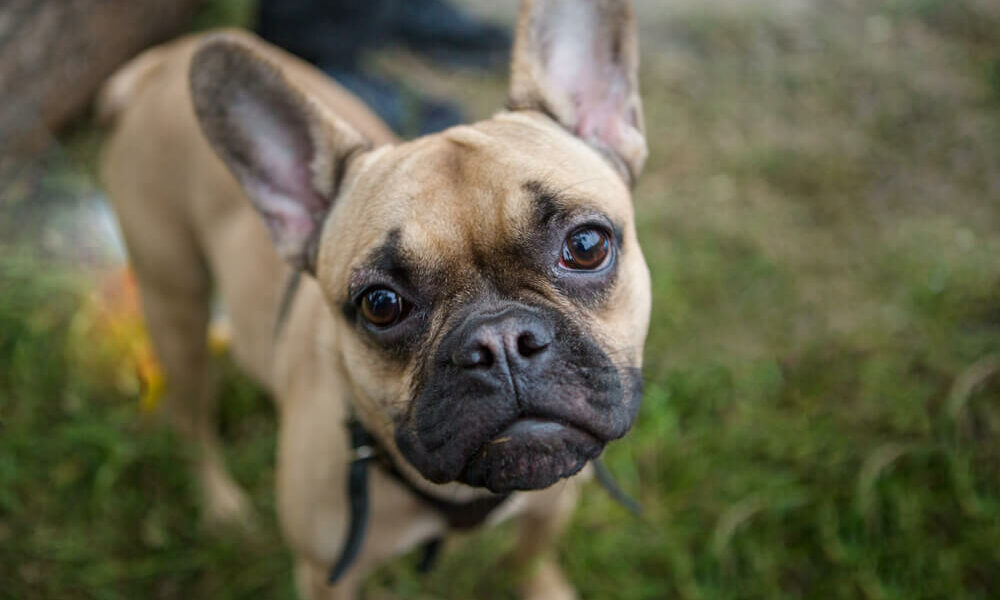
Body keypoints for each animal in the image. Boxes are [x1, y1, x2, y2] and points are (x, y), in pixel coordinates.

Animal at [99, 2, 648, 596]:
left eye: (587, 246)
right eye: (380, 305)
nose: (500, 340)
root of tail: (158, 66)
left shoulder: (555, 497)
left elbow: (531, 552)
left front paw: (543, 585)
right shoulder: (326, 574)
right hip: (174, 305)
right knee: (192, 418)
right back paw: (221, 505)